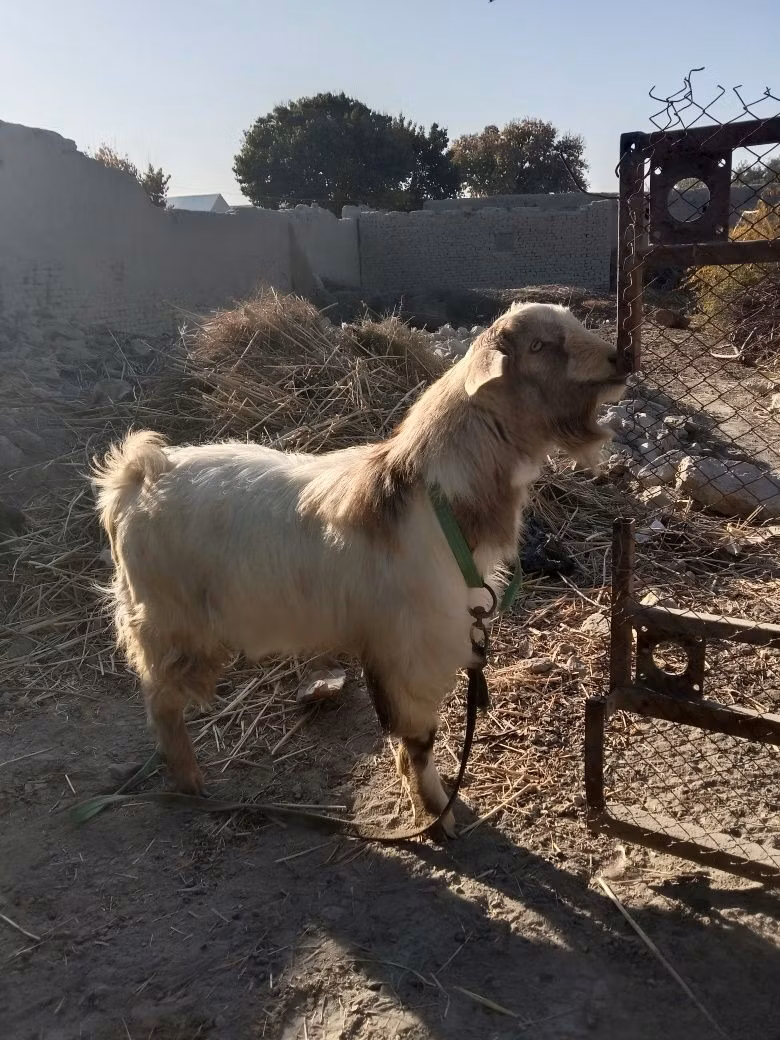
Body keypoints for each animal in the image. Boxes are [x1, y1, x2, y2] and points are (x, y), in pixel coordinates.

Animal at [92, 302, 625, 836]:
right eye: (537, 346)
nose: (620, 359)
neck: (434, 497)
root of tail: (136, 476)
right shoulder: (414, 652)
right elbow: (419, 737)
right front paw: (437, 813)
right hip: (168, 627)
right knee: (160, 704)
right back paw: (191, 782)